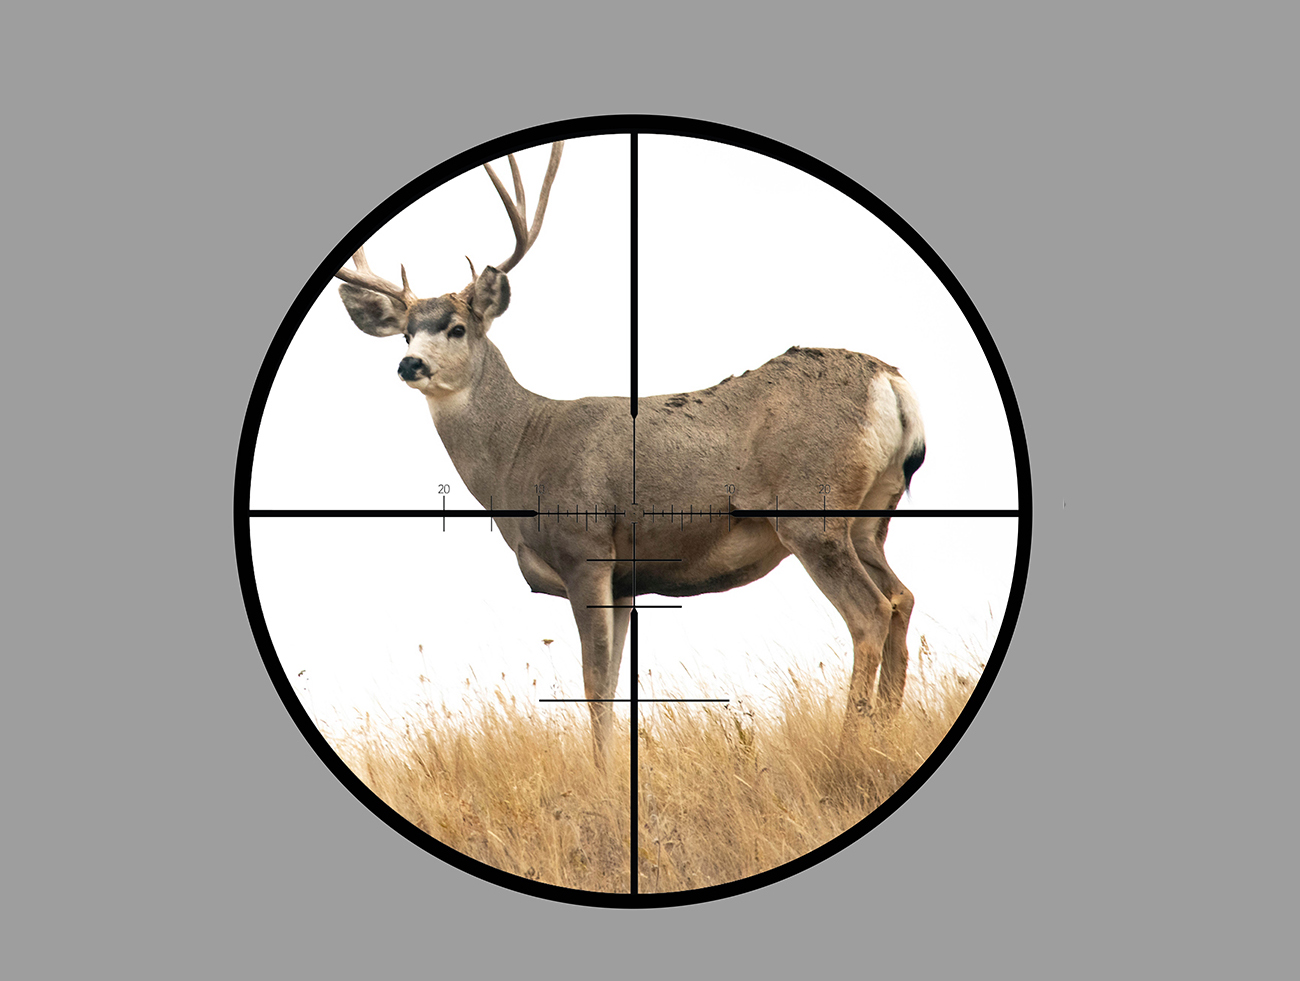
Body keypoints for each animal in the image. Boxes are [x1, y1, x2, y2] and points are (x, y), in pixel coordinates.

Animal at [335, 141, 926, 766]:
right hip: (870, 517)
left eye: (455, 328)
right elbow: (614, 683)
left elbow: (594, 685)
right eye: (405, 333)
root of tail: (889, 381)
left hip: (811, 511)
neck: (523, 452)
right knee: (902, 597)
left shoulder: (586, 549)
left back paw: (850, 746)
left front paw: (601, 776)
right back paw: (888, 730)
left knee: (870, 612)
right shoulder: (624, 580)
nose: (409, 364)